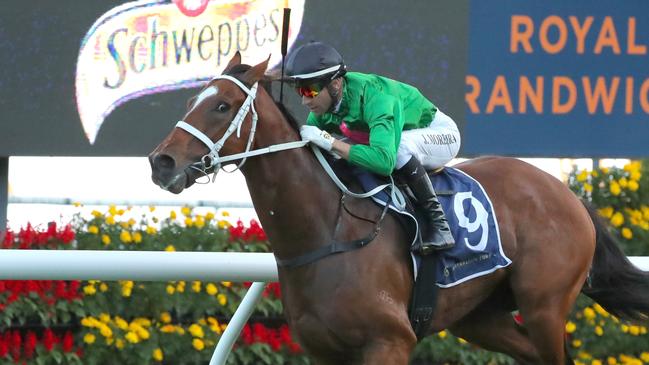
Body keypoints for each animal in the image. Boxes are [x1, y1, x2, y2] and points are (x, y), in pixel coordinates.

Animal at [149, 54, 648, 364]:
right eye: (190, 101)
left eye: (222, 105)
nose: (160, 162)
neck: (327, 231)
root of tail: (568, 194)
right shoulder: (327, 351)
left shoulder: (389, 341)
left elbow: (389, 151)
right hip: (481, 317)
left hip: (544, 304)